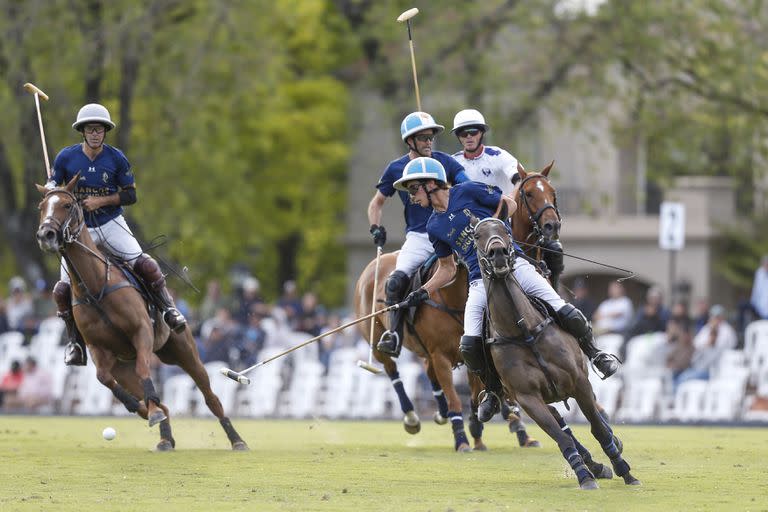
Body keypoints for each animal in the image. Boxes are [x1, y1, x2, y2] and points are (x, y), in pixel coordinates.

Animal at [36, 177, 246, 452]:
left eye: (67, 204)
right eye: (41, 207)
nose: (45, 235)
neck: (94, 287)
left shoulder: (141, 331)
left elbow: (146, 370)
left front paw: (151, 411)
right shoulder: (98, 349)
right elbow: (103, 378)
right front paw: (144, 410)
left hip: (184, 350)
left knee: (211, 397)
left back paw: (237, 440)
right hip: (124, 367)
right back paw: (164, 436)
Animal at [472, 215, 640, 488]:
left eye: (505, 230)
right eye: (477, 236)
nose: (498, 253)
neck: (523, 330)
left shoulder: (579, 382)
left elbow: (597, 428)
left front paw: (625, 470)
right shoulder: (528, 398)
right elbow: (562, 438)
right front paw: (585, 476)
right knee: (564, 430)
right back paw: (593, 467)